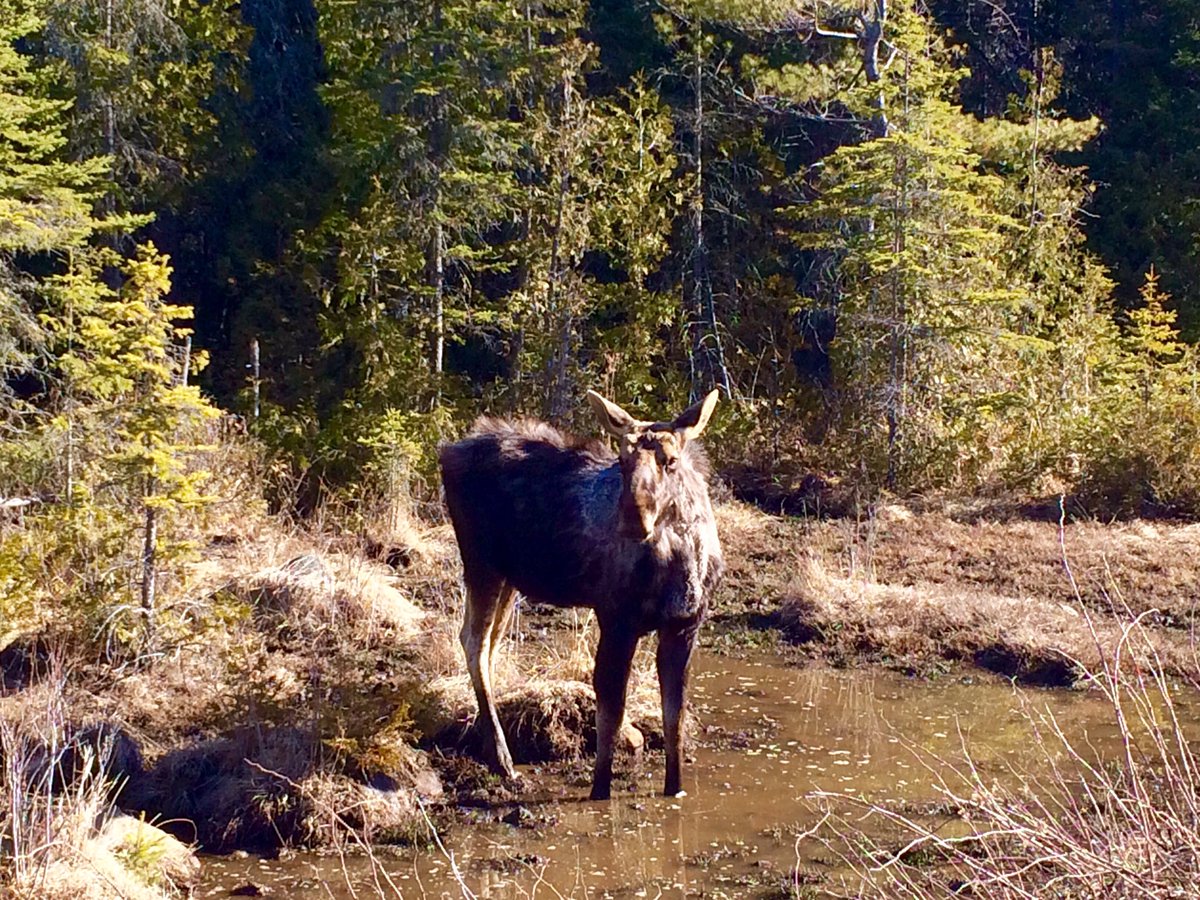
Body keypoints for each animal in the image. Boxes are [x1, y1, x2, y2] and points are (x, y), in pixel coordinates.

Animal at [439, 390, 724, 801]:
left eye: (669, 461)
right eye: (621, 459)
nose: (633, 518)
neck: (678, 562)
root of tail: (448, 450)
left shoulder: (685, 625)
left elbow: (675, 715)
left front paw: (676, 788)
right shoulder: (617, 618)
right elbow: (611, 711)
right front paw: (599, 791)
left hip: (508, 576)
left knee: (488, 644)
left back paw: (490, 746)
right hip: (481, 562)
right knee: (474, 641)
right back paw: (502, 758)